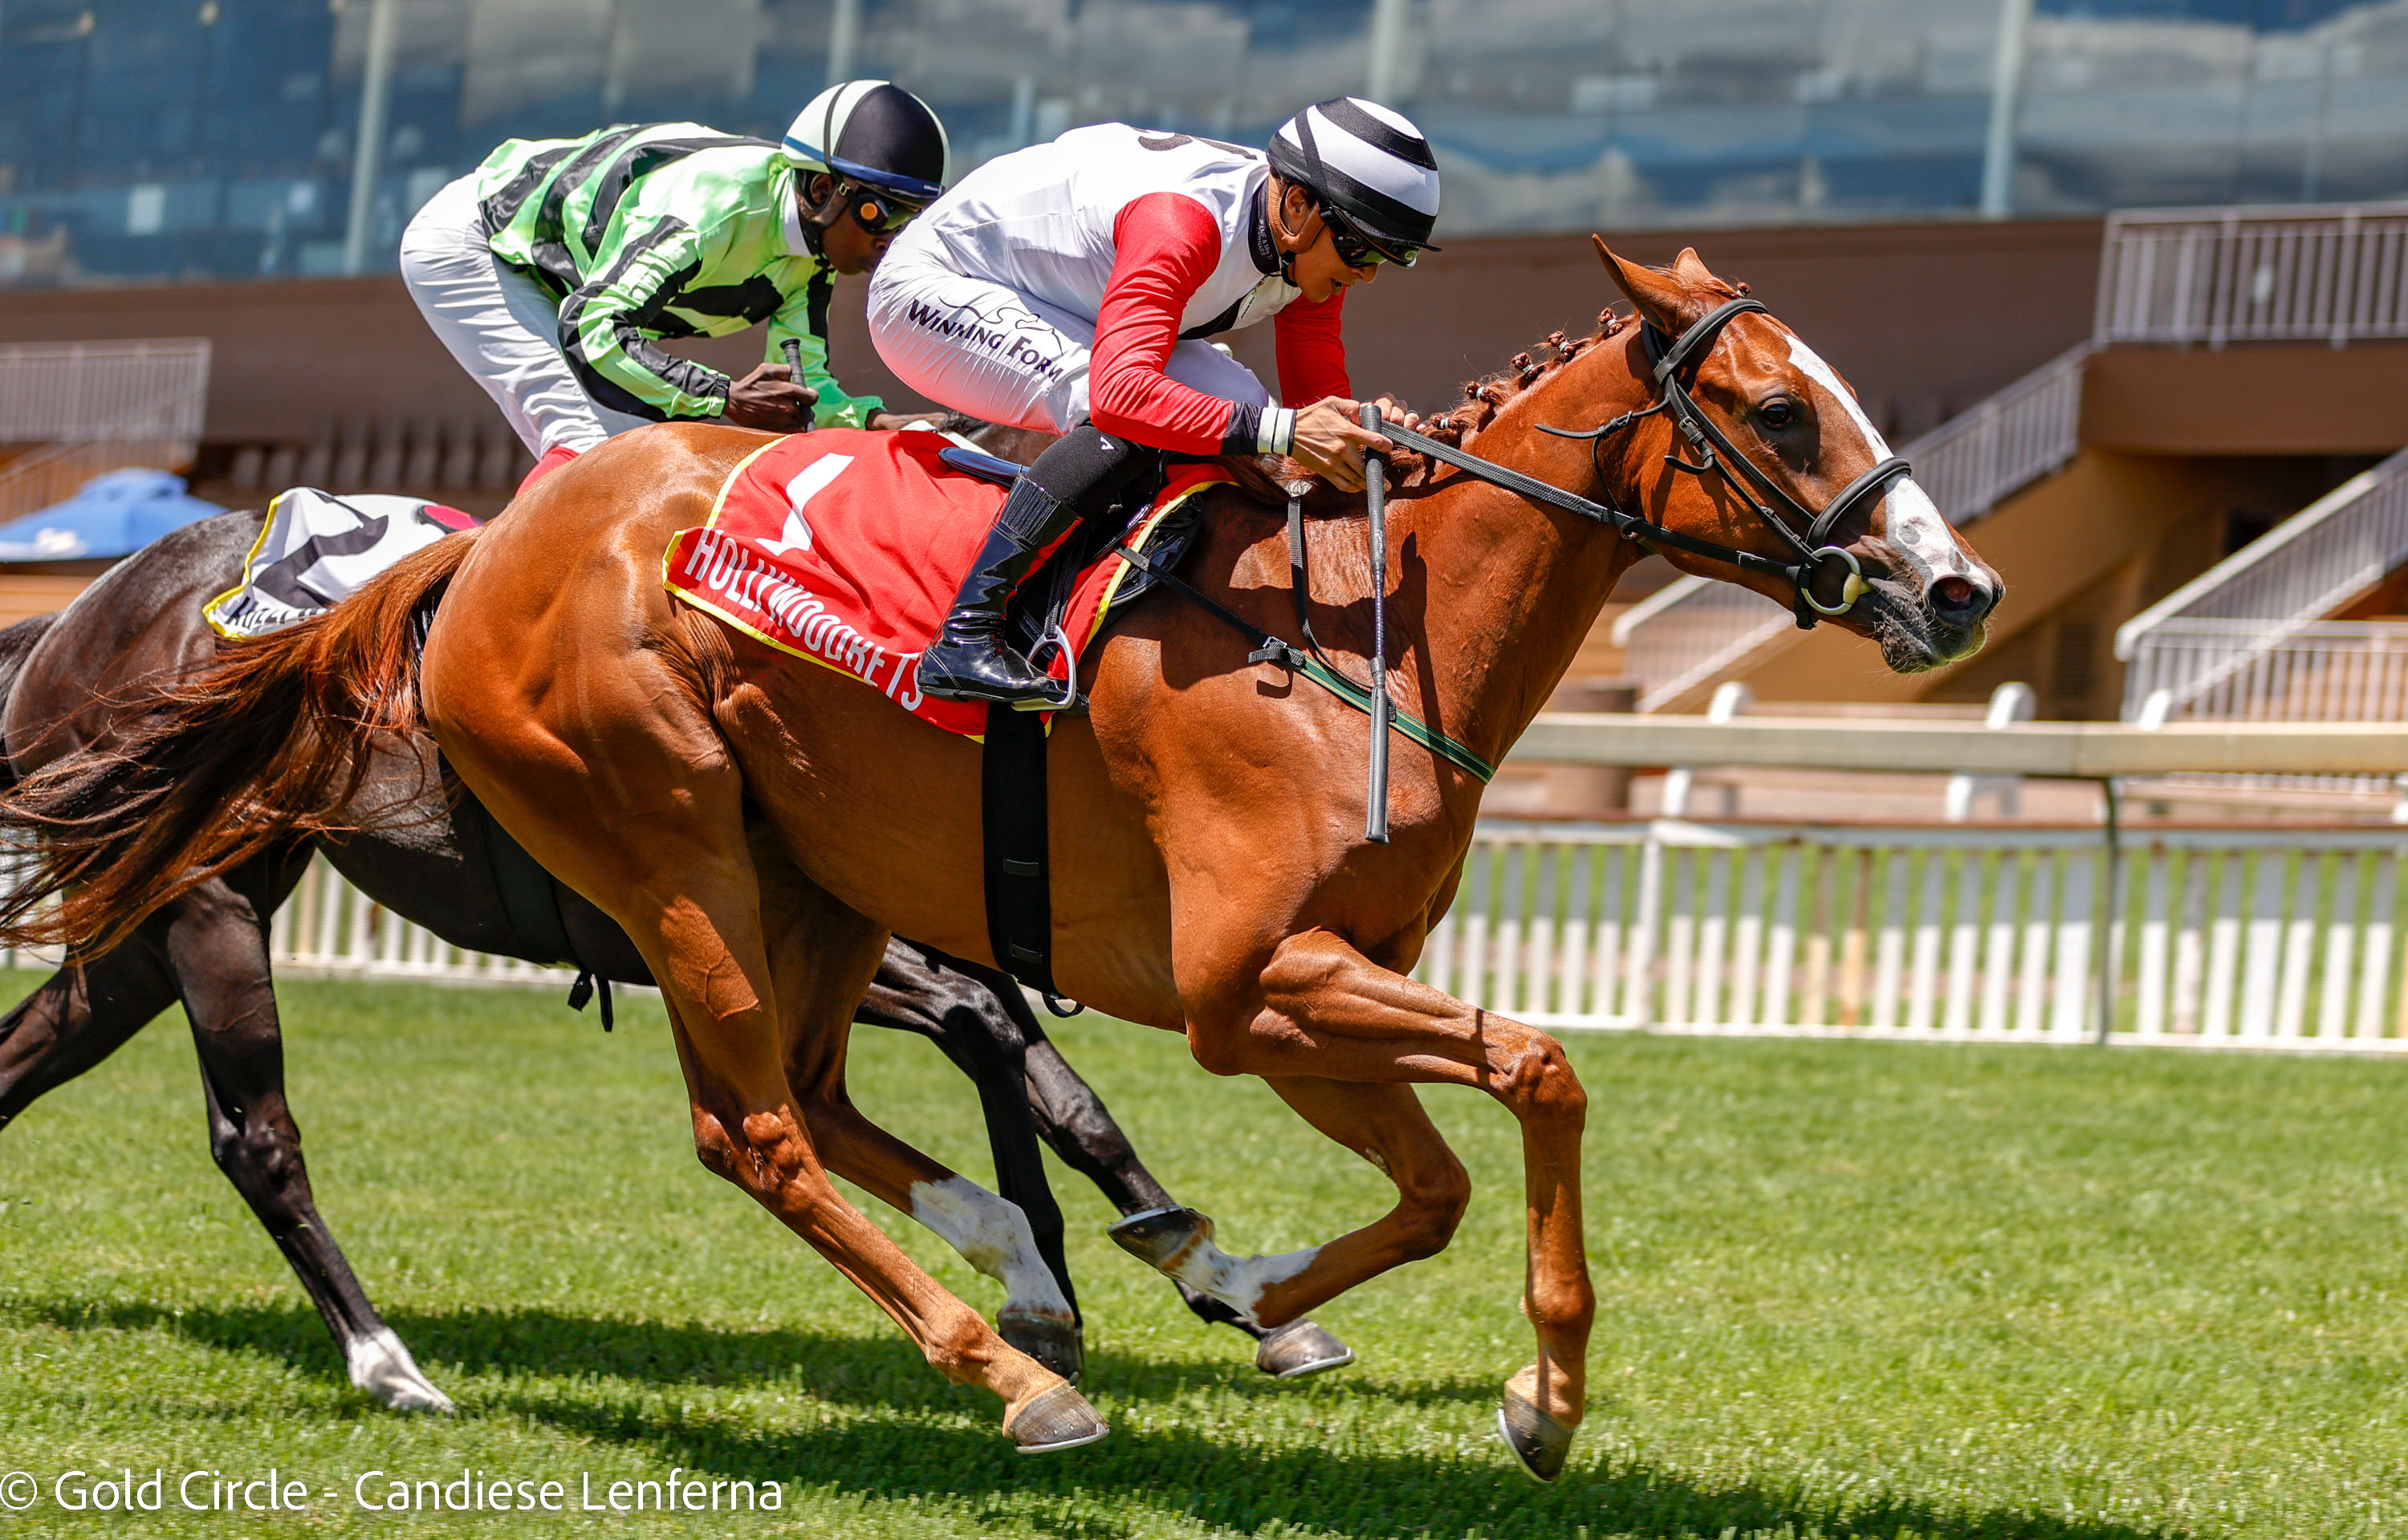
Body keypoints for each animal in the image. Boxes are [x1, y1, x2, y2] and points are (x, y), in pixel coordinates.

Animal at [0, 509, 1350, 1412]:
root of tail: (77, 614)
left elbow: (1060, 1093)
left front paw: (1217, 1284)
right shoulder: (817, 939)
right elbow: (991, 1046)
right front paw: (1059, 1291)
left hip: (157, 912)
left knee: (37, 1049)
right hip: (208, 897)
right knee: (256, 1135)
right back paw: (388, 1363)